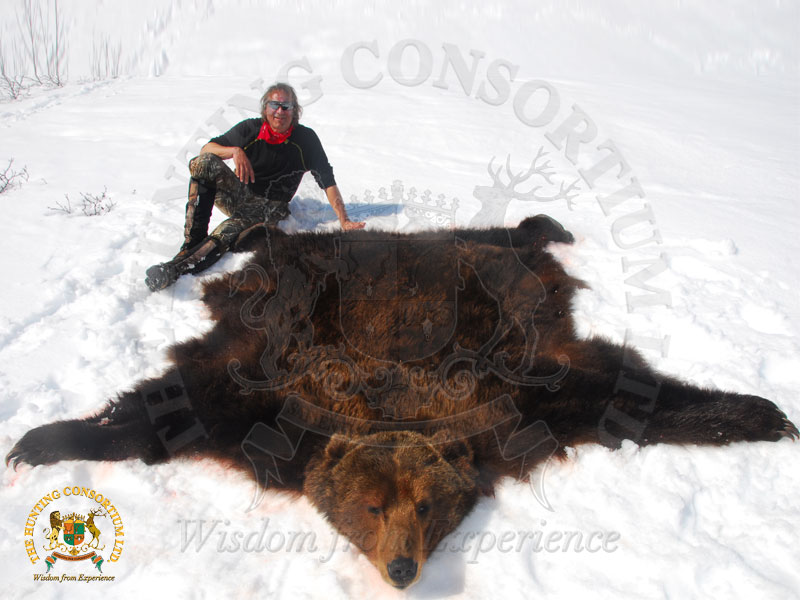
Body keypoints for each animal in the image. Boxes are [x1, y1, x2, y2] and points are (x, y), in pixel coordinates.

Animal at [6, 215, 797, 589]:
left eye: (426, 505)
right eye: (371, 506)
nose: (402, 570)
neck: (387, 404)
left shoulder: (521, 398)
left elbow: (624, 397)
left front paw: (760, 412)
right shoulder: (263, 397)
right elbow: (166, 409)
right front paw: (44, 440)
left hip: (490, 272)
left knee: (505, 235)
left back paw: (548, 225)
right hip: (298, 280)